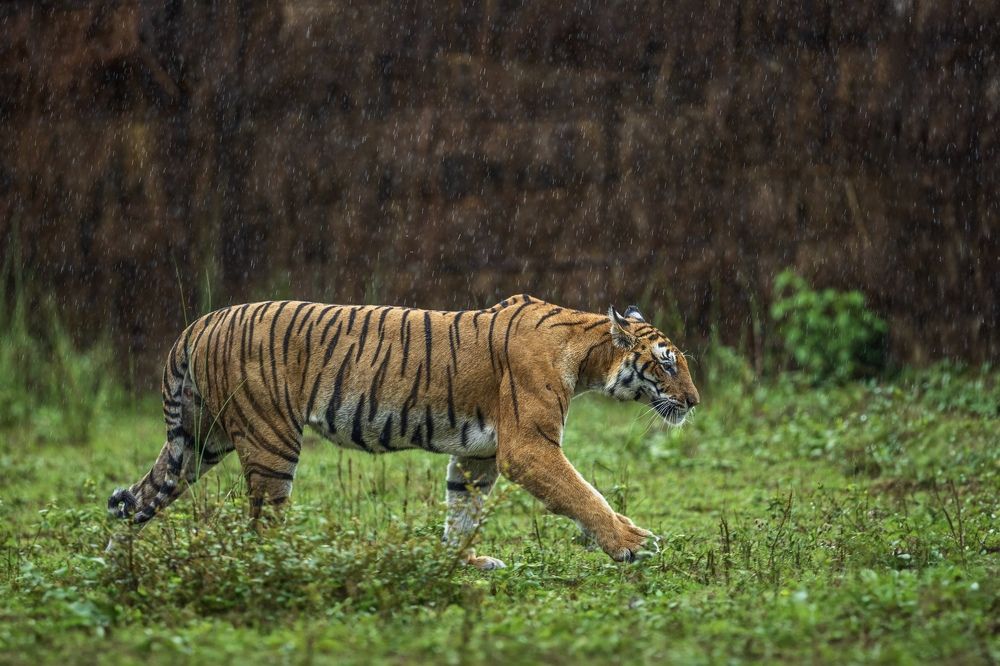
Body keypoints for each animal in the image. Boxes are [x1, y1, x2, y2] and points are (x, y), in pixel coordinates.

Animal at [107, 294, 700, 569]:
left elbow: (462, 512)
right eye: (667, 362)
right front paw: (632, 544)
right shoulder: (528, 447)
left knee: (132, 500)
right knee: (261, 526)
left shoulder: (478, 454)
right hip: (269, 440)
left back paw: (115, 565)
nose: (694, 402)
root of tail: (196, 325)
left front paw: (463, 563)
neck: (587, 354)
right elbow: (584, 494)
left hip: (197, 442)